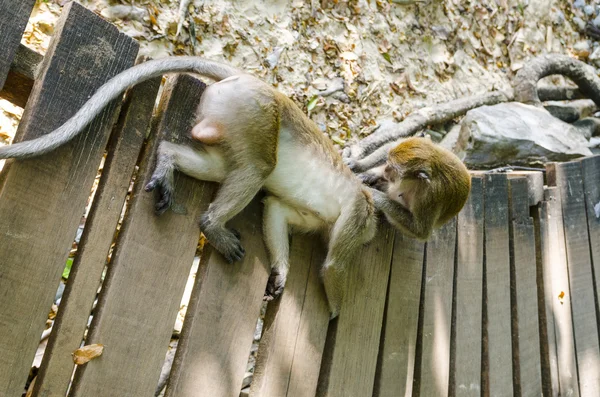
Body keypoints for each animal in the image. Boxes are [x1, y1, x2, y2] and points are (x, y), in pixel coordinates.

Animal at [0, 57, 472, 318]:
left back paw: (168, 161)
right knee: (260, 166)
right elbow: (334, 265)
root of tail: (254, 82)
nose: (381, 179)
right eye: (389, 173)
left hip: (232, 117)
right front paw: (336, 312)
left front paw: (281, 273)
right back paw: (212, 223)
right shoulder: (359, 213)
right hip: (255, 111)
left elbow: (277, 210)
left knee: (226, 165)